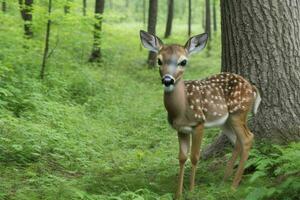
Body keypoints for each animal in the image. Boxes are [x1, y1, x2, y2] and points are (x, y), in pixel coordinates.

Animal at [139, 30, 262, 198]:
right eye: (159, 60)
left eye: (183, 62)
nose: (167, 80)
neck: (181, 110)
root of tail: (253, 88)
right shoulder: (181, 129)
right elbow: (182, 157)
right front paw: (178, 194)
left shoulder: (199, 123)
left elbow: (195, 157)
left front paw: (191, 190)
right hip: (225, 121)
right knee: (237, 141)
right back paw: (224, 181)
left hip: (239, 112)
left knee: (248, 138)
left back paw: (233, 185)